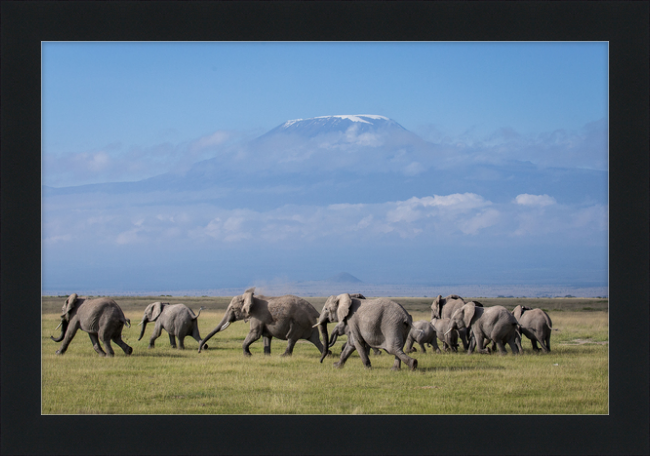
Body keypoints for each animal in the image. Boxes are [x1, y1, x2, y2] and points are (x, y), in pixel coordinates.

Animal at [196, 286, 326, 358]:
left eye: (232, 309)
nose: (200, 350)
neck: (251, 297)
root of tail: (314, 310)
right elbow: (266, 337)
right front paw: (266, 356)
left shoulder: (257, 317)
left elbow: (255, 334)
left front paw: (248, 355)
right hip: (308, 324)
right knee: (315, 339)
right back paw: (327, 354)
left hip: (299, 322)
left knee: (291, 338)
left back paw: (283, 356)